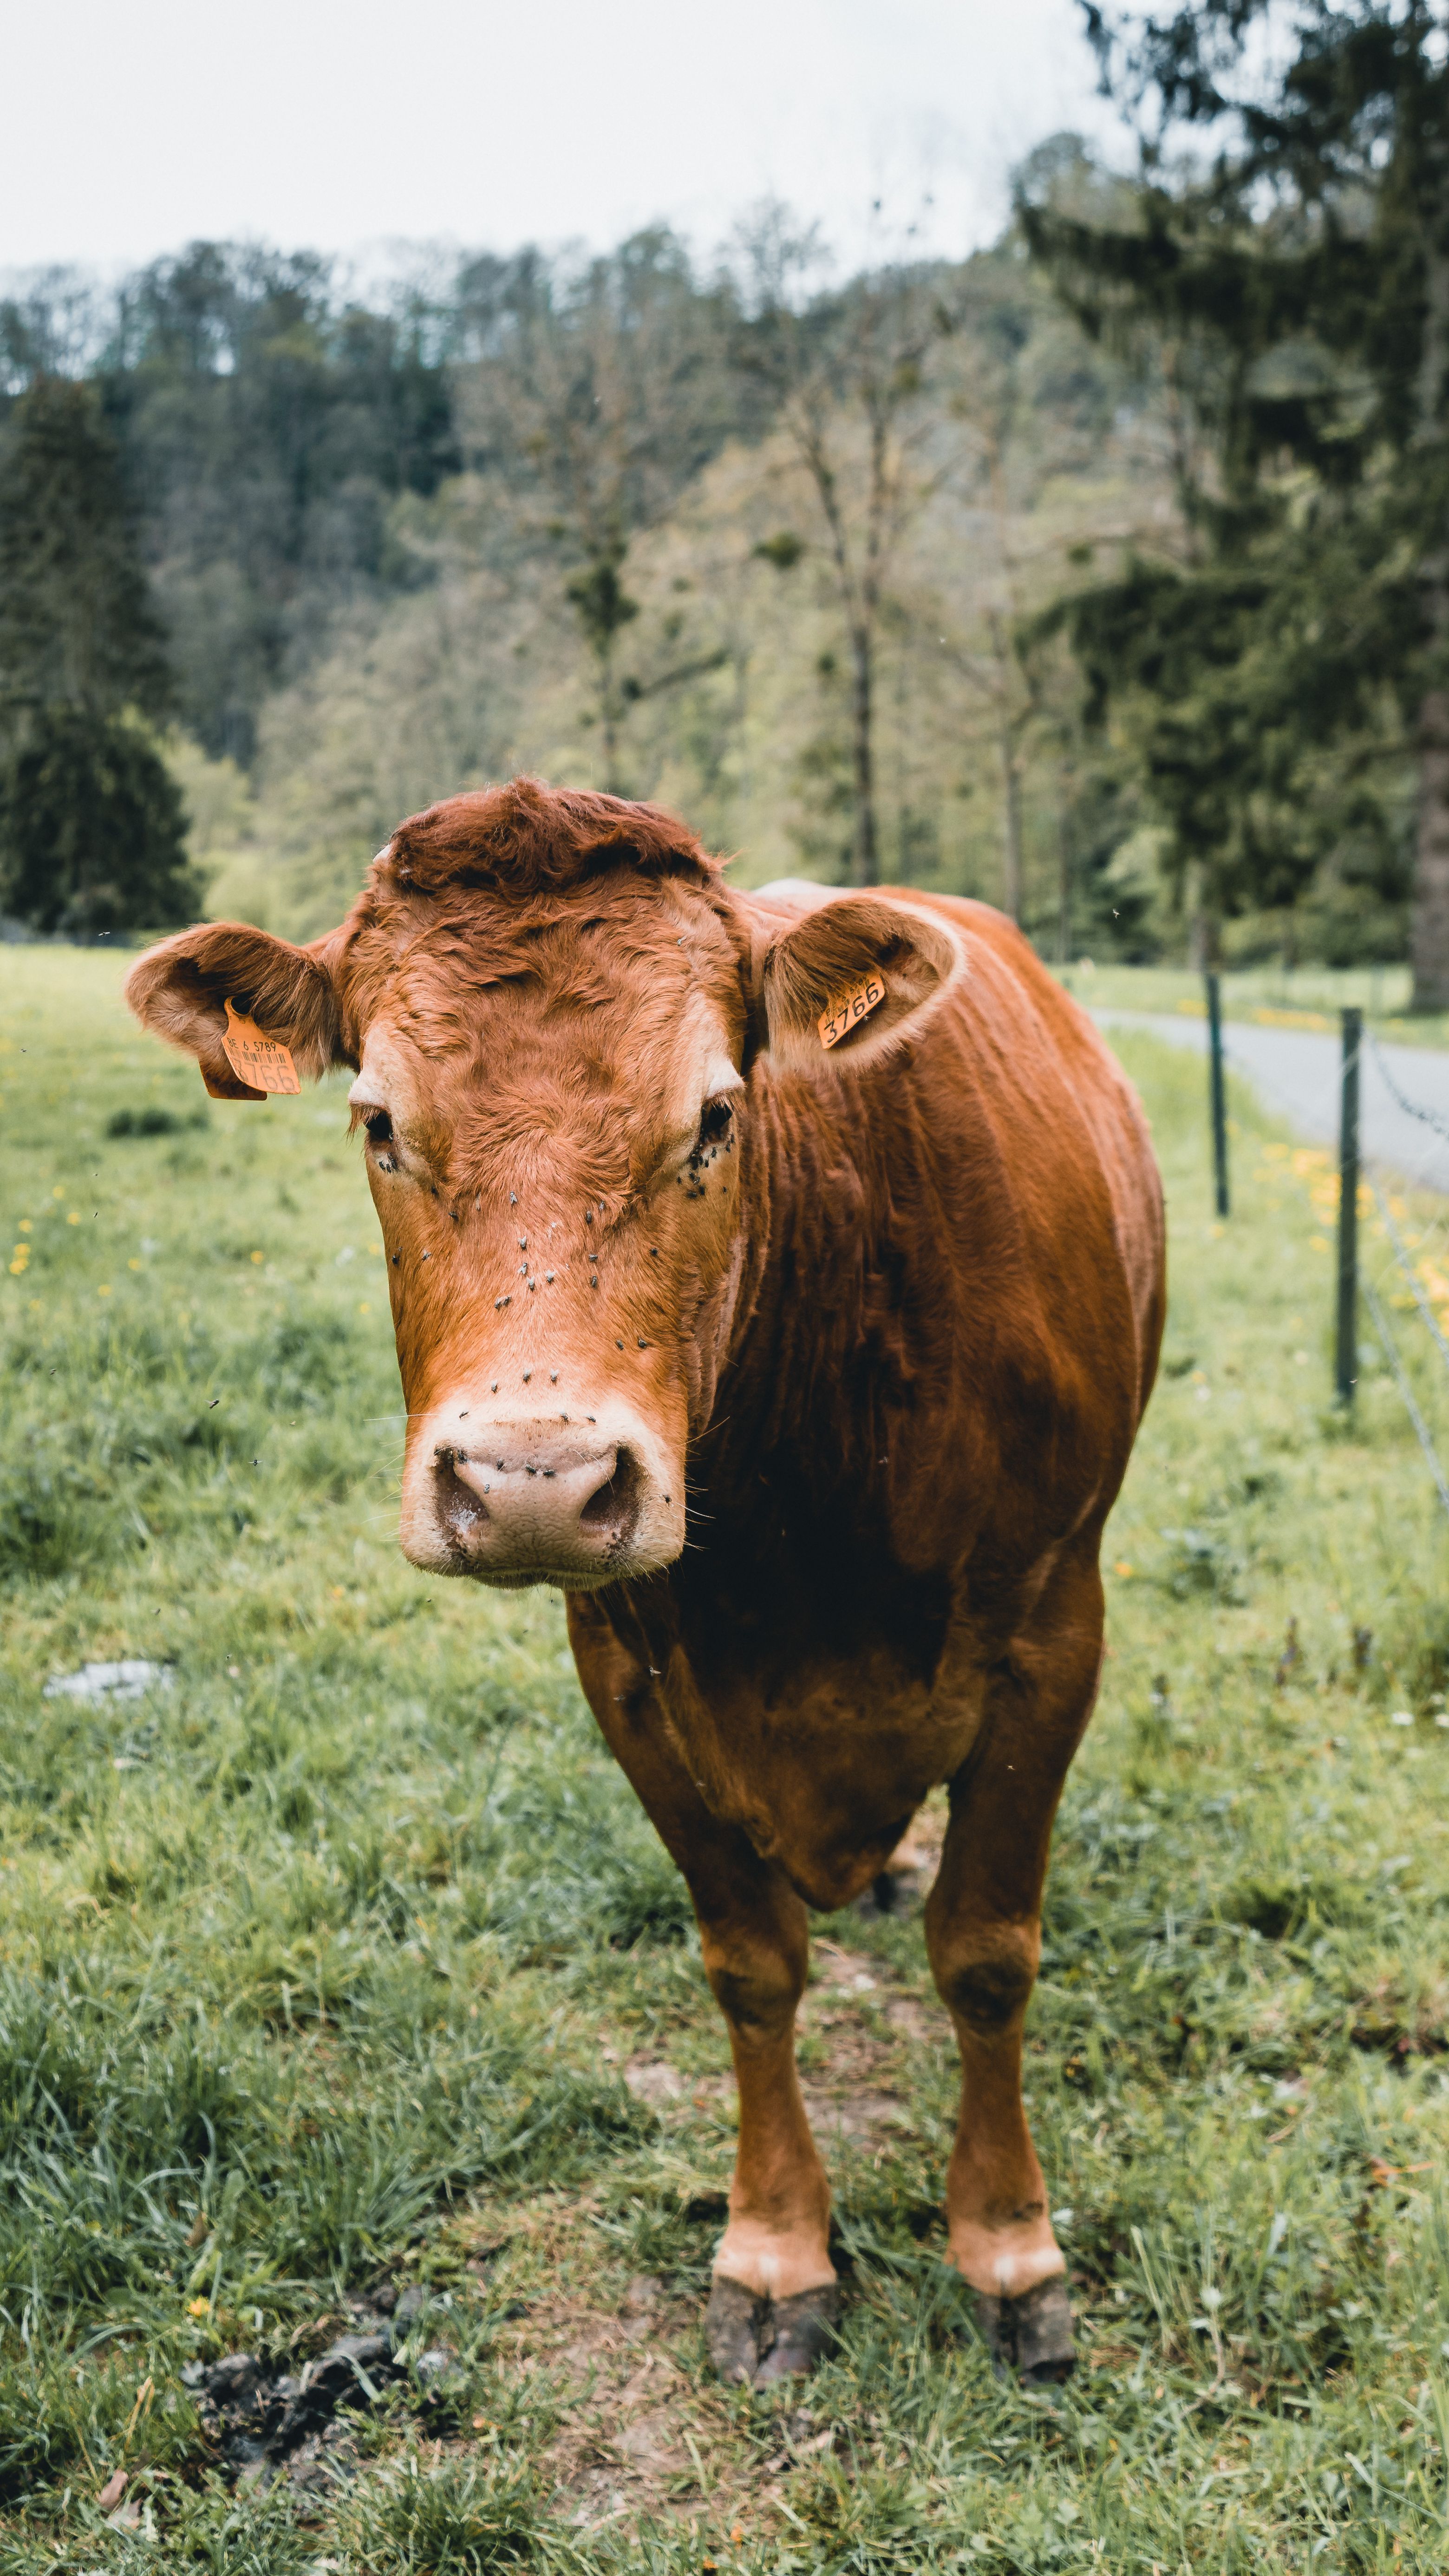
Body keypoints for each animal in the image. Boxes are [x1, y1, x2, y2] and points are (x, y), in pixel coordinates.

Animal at [126, 777, 1164, 2390]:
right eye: (377, 1122)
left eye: (715, 1115)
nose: (531, 1480)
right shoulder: (623, 1669)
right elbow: (750, 1962)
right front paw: (774, 2250)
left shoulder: (1053, 1631)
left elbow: (988, 1954)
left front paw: (1008, 2250)